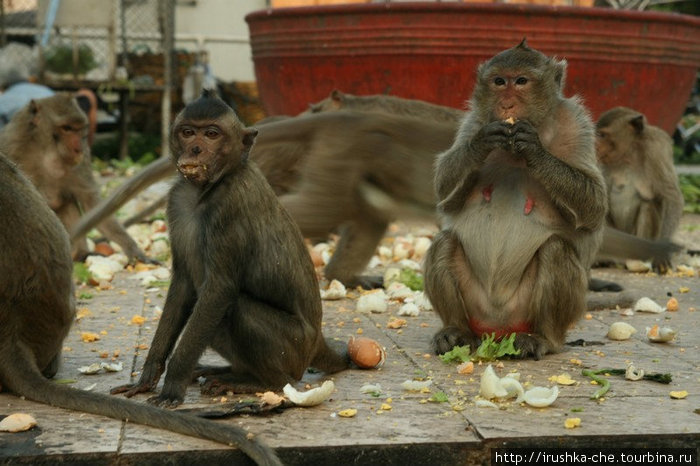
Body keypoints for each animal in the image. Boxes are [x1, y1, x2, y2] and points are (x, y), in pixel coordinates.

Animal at [0, 94, 152, 262]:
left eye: (79, 129)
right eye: (66, 128)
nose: (78, 147)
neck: (46, 153)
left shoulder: (82, 160)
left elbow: (92, 204)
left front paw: (132, 248)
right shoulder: (10, 145)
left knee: (69, 204)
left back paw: (82, 254)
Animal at [424, 41, 608, 360]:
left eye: (521, 81)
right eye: (499, 82)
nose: (506, 104)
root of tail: (497, 329)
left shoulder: (576, 122)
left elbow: (594, 207)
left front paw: (534, 149)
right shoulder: (475, 119)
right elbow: (445, 194)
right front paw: (482, 143)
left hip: (527, 310)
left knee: (555, 249)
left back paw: (542, 338)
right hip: (476, 307)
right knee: (444, 241)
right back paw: (455, 331)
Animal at [596, 107, 684, 272]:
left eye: (603, 135)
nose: (596, 145)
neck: (629, 153)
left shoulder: (657, 148)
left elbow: (671, 196)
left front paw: (661, 253)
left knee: (647, 204)